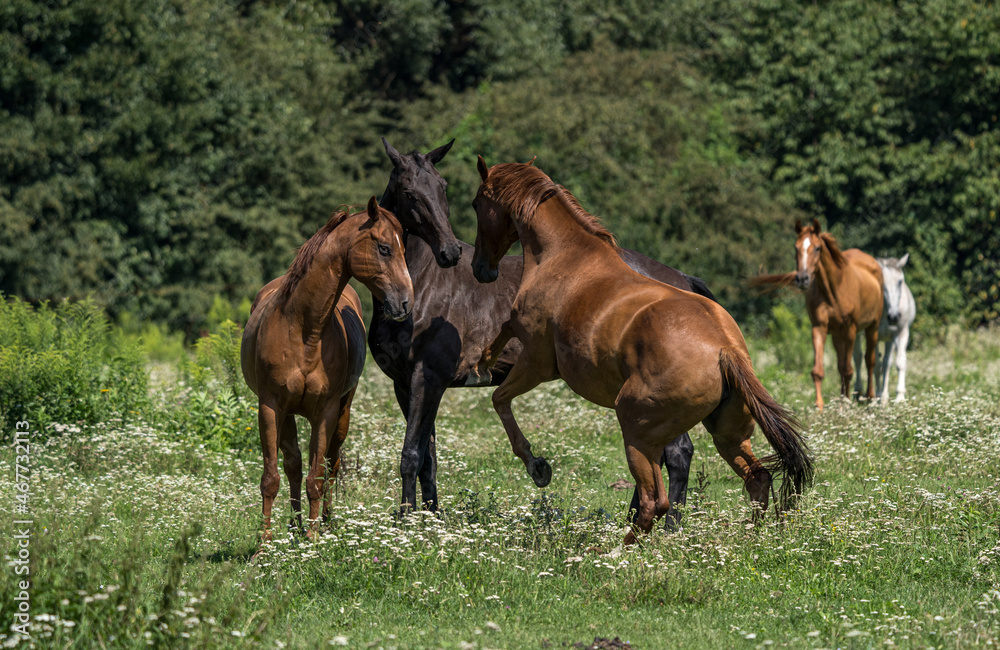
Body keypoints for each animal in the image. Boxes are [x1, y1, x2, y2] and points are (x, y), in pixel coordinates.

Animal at [240, 195, 412, 540]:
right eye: (384, 248)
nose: (405, 302)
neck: (304, 329)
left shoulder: (327, 411)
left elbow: (317, 477)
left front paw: (314, 540)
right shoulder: (269, 406)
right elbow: (272, 478)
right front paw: (264, 545)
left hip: (343, 413)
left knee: (332, 464)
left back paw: (326, 522)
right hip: (287, 413)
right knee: (293, 464)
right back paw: (294, 525)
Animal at [372, 139, 716, 524]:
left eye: (442, 187)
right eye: (408, 192)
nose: (450, 252)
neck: (421, 285)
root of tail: (681, 280)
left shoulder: (427, 378)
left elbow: (411, 455)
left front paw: (406, 520)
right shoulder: (407, 383)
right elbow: (427, 458)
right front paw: (429, 518)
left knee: (677, 452)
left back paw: (667, 525)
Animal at [468, 158, 812, 540]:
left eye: (477, 204)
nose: (480, 269)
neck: (563, 254)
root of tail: (726, 352)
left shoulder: (538, 362)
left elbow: (500, 397)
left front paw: (537, 465)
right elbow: (503, 334)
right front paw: (481, 362)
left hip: (636, 429)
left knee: (654, 500)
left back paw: (615, 547)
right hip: (726, 434)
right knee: (757, 477)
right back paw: (749, 536)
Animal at [752, 220, 880, 408]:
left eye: (817, 248)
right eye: (796, 247)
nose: (802, 279)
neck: (834, 289)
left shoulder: (850, 329)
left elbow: (848, 369)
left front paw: (846, 403)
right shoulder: (819, 327)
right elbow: (819, 370)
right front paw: (820, 406)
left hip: (872, 327)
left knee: (869, 360)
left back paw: (869, 398)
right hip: (837, 335)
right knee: (842, 365)